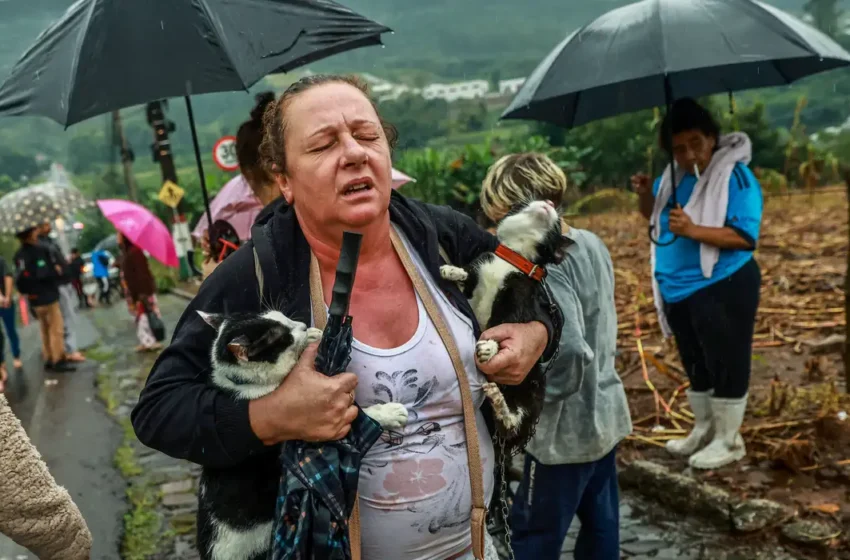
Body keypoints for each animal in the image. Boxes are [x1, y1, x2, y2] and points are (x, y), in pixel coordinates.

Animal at [194, 310, 406, 560]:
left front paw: (314, 335)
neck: (247, 384)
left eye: (283, 317)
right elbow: (359, 417)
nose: (302, 326)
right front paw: (389, 412)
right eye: (282, 337)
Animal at [440, 201, 568, 456]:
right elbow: (467, 278)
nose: (549, 202)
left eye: (557, 224)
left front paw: (489, 346)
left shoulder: (519, 297)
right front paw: (452, 271)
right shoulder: (478, 274)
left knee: (512, 423)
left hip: (534, 389)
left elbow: (505, 323)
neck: (514, 258)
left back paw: (500, 404)